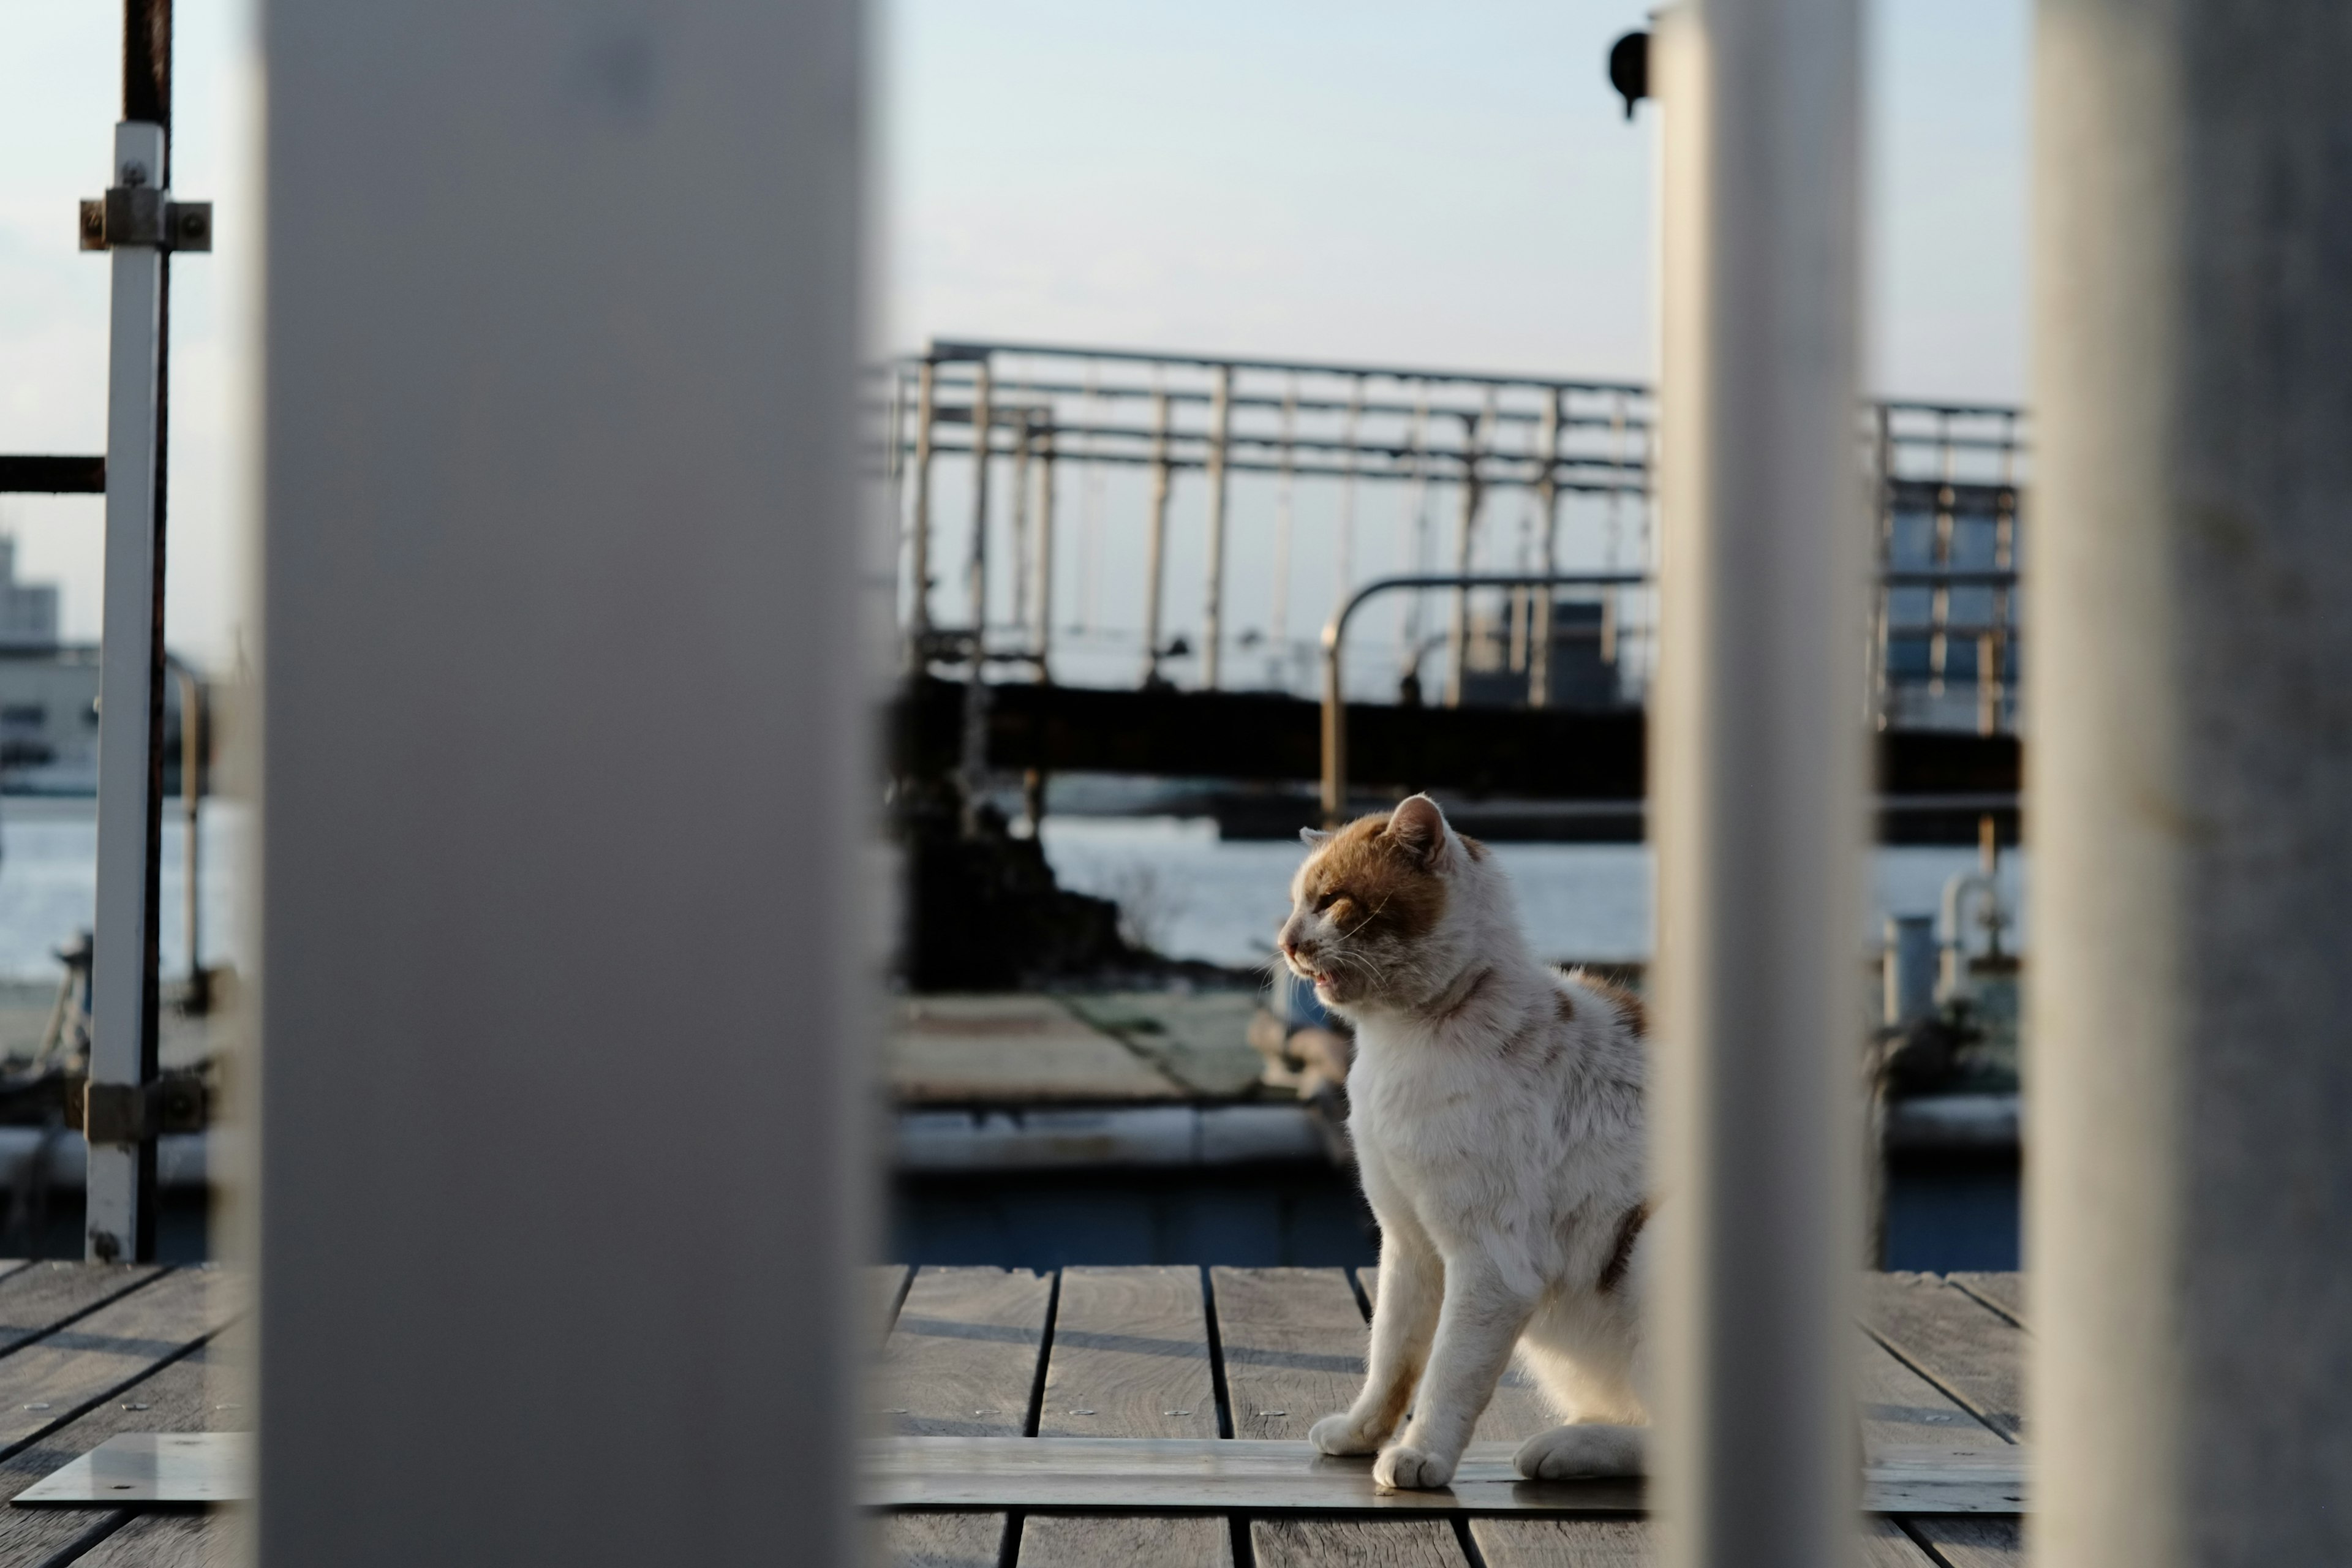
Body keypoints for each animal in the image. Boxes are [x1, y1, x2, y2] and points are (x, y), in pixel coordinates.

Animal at [1270, 799, 1656, 1495]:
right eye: (1294, 904)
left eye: (1331, 901)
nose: (1285, 942)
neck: (1400, 1043)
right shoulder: (1410, 1245)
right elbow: (1391, 1356)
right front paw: (1361, 1433)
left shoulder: (1490, 1266)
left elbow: (1450, 1372)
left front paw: (1421, 1454)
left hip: (1653, 1246)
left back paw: (1569, 1446)